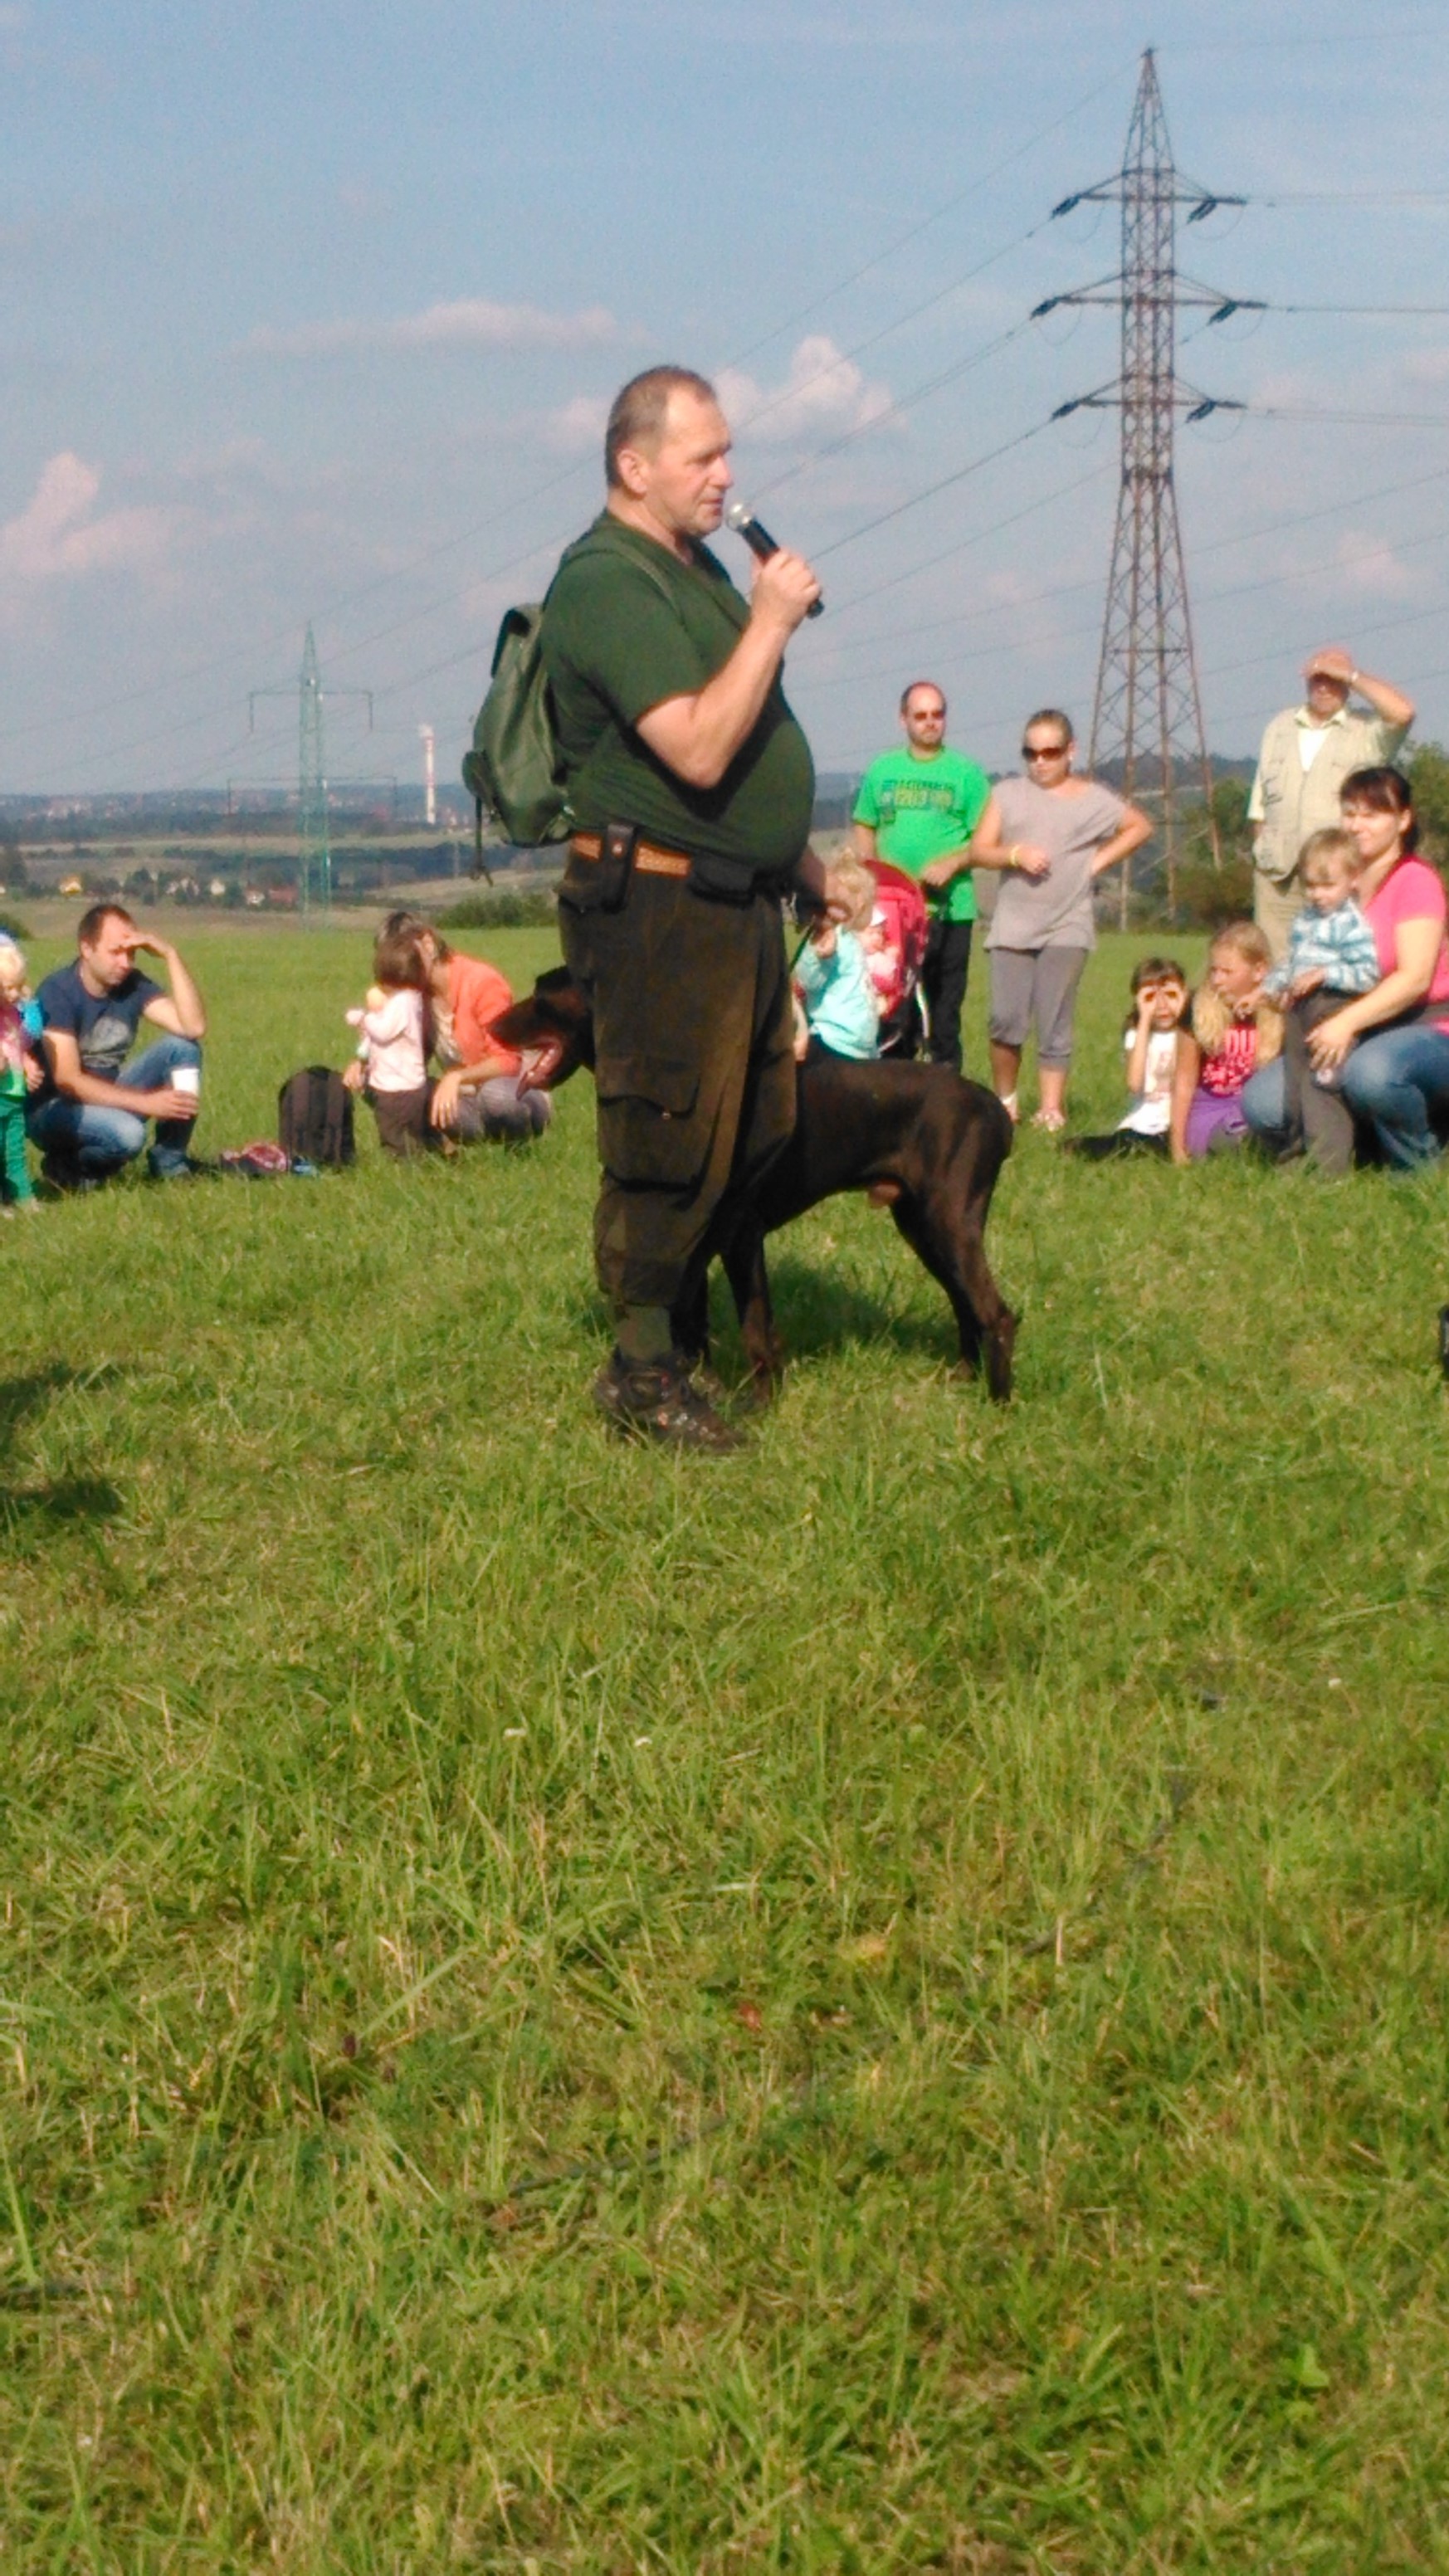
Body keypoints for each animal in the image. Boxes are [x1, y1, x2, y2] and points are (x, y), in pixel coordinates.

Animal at [495, 968, 1016, 1411]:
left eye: (542, 993)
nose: (492, 1024)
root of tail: (995, 1109)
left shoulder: (741, 1235)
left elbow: (756, 1330)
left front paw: (761, 1406)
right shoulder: (693, 1235)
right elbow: (690, 1329)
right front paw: (699, 1393)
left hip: (949, 1222)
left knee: (996, 1313)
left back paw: (998, 1404)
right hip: (920, 1225)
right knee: (964, 1302)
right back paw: (965, 1378)